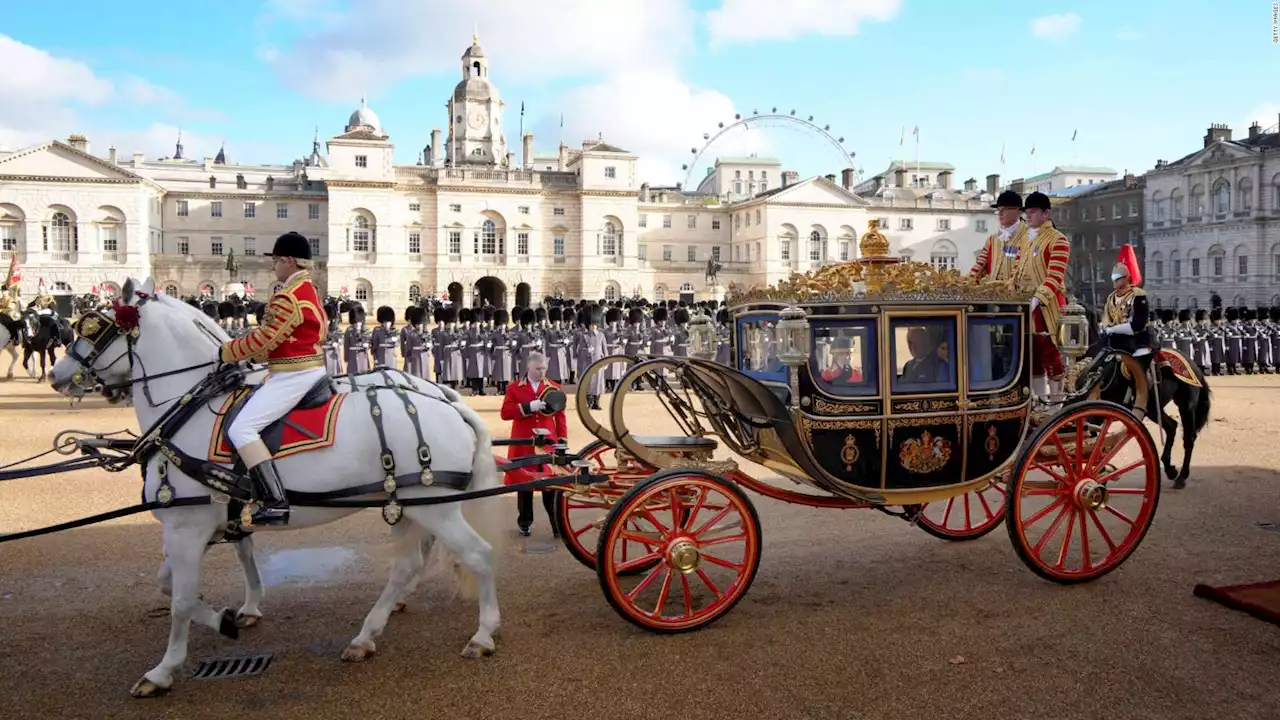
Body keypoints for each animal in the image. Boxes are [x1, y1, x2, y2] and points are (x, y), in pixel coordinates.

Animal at [49, 279, 501, 696]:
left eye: (94, 327)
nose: (56, 376)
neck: (189, 413)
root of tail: (448, 402)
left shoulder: (187, 526)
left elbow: (180, 600)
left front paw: (164, 669)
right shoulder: (204, 524)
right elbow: (175, 583)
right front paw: (228, 616)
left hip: (433, 505)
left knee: (478, 555)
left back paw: (482, 635)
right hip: (405, 503)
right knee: (408, 563)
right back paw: (366, 636)